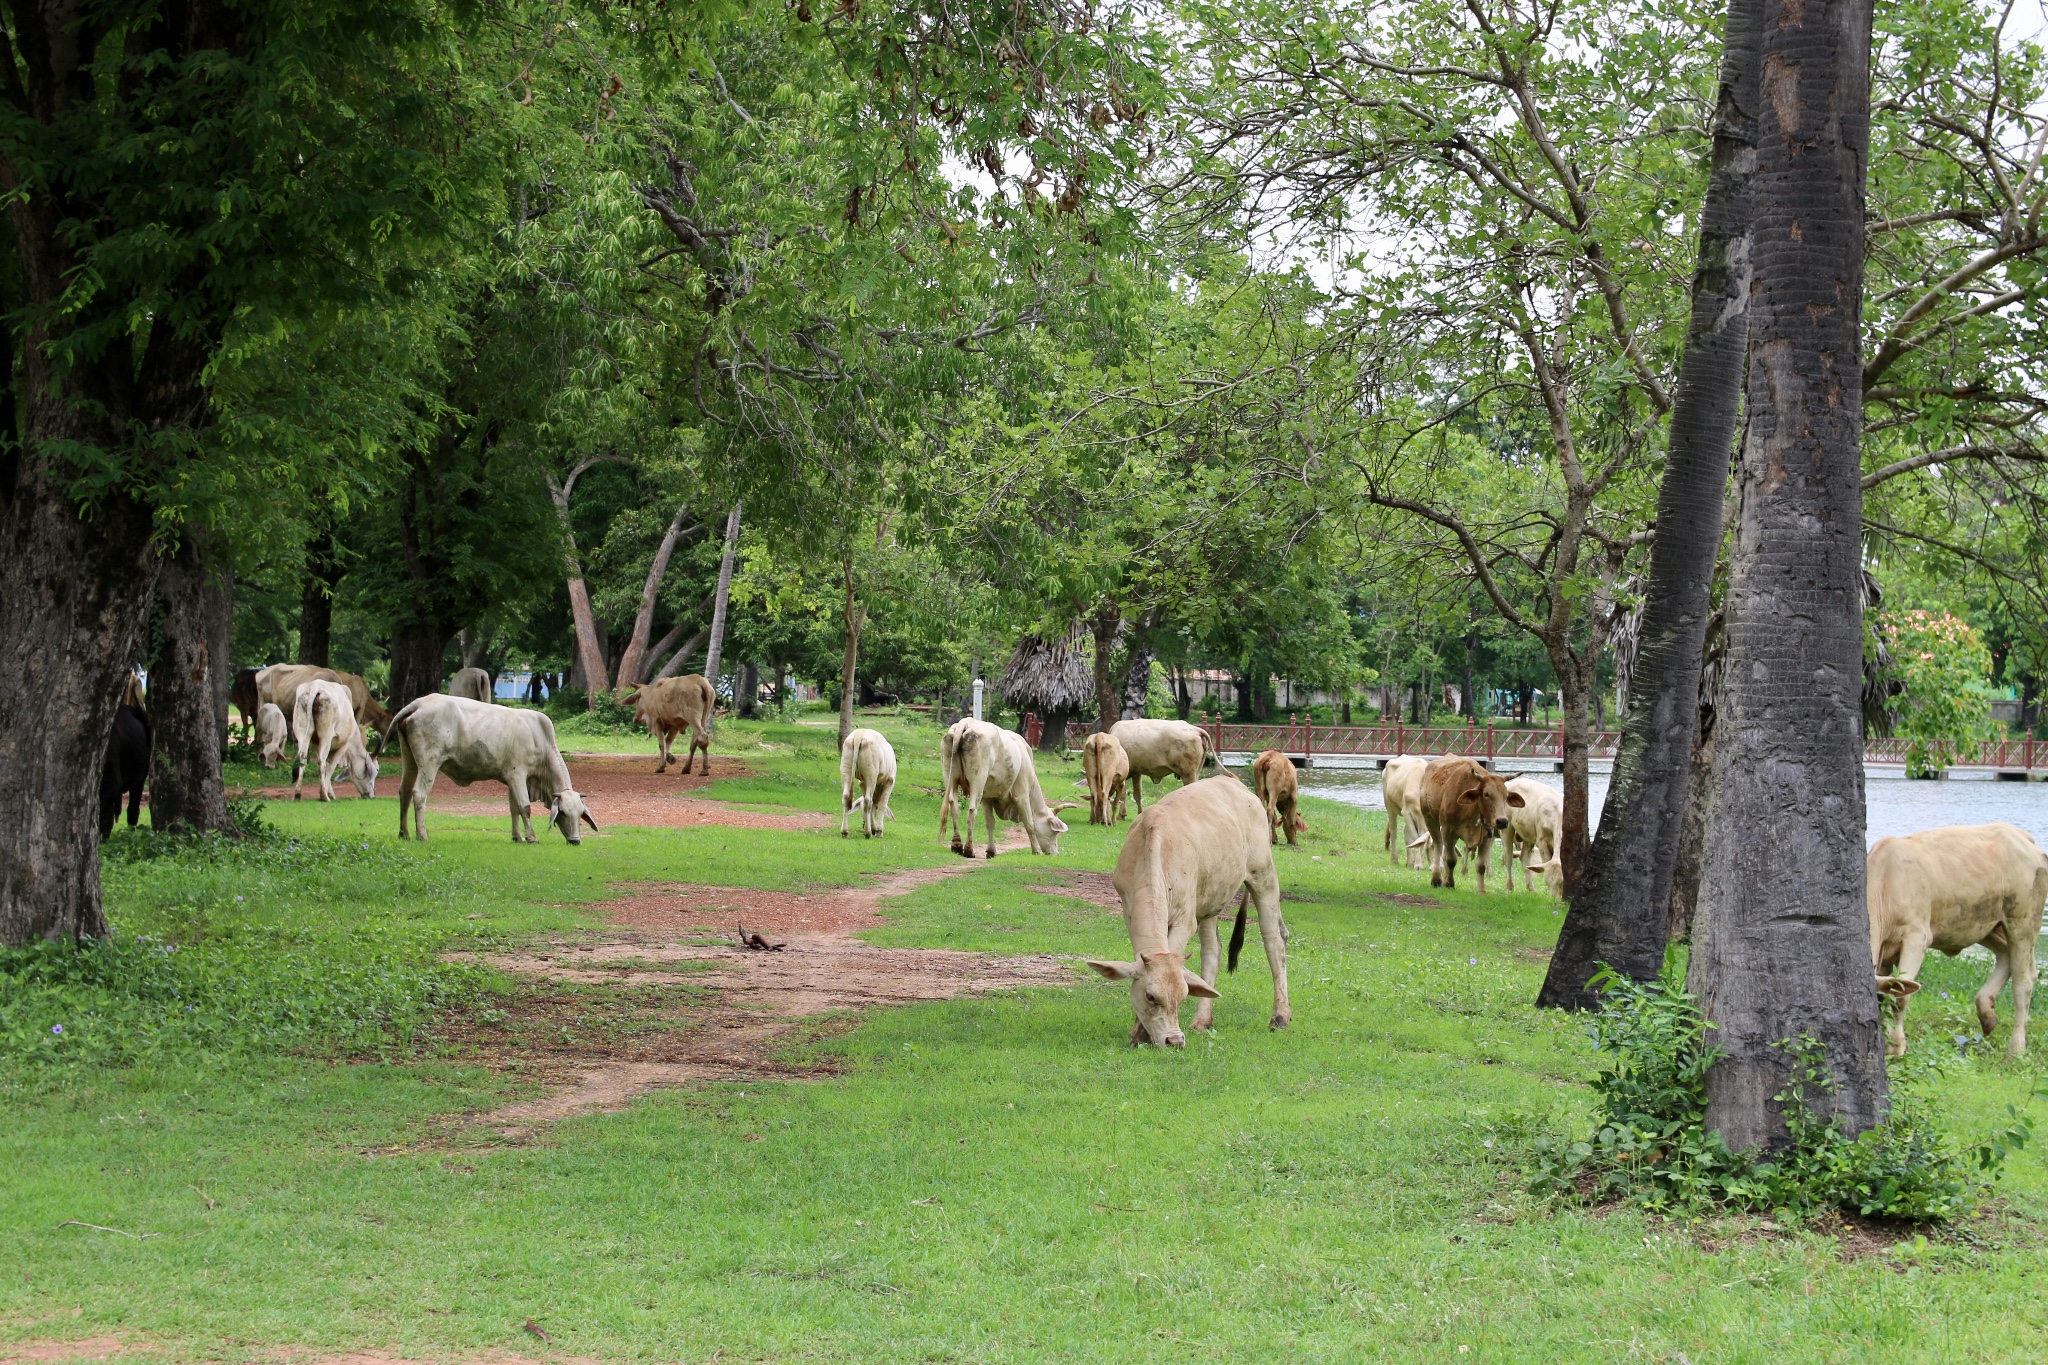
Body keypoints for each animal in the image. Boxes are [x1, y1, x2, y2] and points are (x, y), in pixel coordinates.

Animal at [378, 695, 598, 843]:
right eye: (563, 813)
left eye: (580, 815)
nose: (575, 841)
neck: (541, 740)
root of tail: (419, 703)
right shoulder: (518, 774)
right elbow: (525, 807)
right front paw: (531, 837)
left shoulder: (511, 778)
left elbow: (514, 808)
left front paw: (517, 837)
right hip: (429, 762)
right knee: (419, 794)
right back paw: (422, 835)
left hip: (409, 758)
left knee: (405, 791)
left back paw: (404, 833)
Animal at [937, 720, 1081, 859]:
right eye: (1053, 832)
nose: (1055, 854)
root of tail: (965, 723)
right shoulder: (1022, 794)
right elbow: (1029, 824)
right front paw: (1036, 851)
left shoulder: (987, 797)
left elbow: (990, 823)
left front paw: (991, 851)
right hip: (977, 779)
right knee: (972, 810)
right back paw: (968, 849)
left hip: (950, 776)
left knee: (953, 806)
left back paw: (956, 845)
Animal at [1081, 773, 1286, 1055]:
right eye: (1150, 996)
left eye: (1182, 995)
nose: (1174, 1041)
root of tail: (1234, 782)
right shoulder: (1128, 910)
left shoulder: (1185, 920)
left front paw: (1140, 1033)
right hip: (1211, 899)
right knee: (1213, 951)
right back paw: (1202, 1020)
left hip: (1263, 874)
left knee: (1274, 942)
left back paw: (1280, 1016)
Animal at [1425, 757, 1523, 896]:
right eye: (1486, 794)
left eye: (1506, 796)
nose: (1502, 821)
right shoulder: (1447, 831)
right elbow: (1451, 860)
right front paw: (1449, 883)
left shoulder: (1487, 836)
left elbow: (1481, 865)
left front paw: (1481, 890)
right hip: (1430, 820)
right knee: (1438, 846)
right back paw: (1437, 879)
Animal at [1875, 818, 2048, 1064]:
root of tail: (2020, 835)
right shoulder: (1885, 951)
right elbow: (1884, 995)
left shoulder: (1916, 937)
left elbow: (1900, 996)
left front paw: (1896, 1047)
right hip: (1982, 923)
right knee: (2007, 956)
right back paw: (1987, 1012)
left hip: (2023, 918)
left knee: (2023, 981)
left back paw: (2016, 1050)